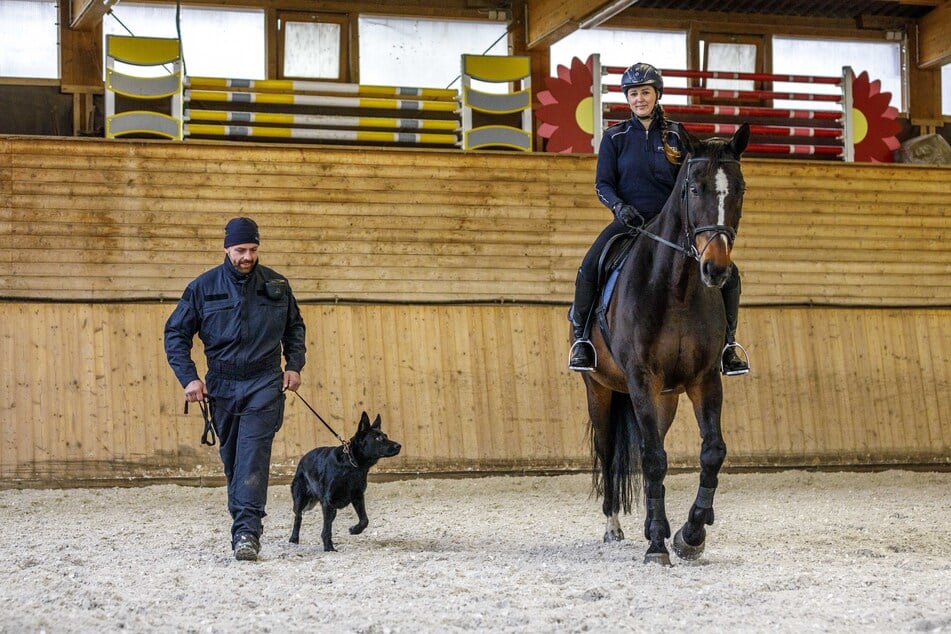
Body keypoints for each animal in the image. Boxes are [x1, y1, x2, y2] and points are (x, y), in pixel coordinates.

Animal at [286, 410, 398, 548]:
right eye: (378, 438)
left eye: (386, 436)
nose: (399, 446)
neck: (351, 464)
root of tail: (302, 459)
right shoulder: (328, 502)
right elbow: (327, 530)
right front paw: (329, 548)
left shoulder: (357, 496)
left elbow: (364, 520)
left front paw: (355, 530)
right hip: (300, 500)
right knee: (298, 517)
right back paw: (294, 538)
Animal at [580, 119, 752, 564]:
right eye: (693, 188)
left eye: (739, 189)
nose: (715, 269)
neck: (676, 287)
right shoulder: (642, 378)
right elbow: (654, 457)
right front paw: (658, 541)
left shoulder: (704, 379)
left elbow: (711, 452)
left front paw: (691, 534)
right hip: (600, 390)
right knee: (611, 452)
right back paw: (614, 527)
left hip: (666, 399)